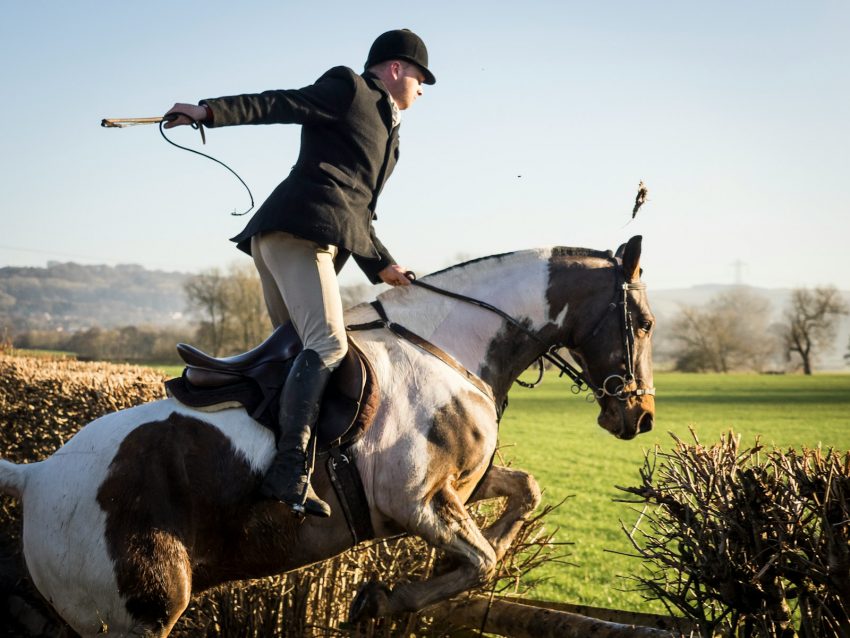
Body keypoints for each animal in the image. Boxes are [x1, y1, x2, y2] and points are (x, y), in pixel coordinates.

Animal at [0, 236, 655, 637]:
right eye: (645, 323)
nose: (641, 416)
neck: (449, 345)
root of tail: (37, 475)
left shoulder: (460, 486)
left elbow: (524, 493)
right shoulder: (413, 500)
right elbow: (483, 560)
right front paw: (385, 598)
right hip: (136, 614)